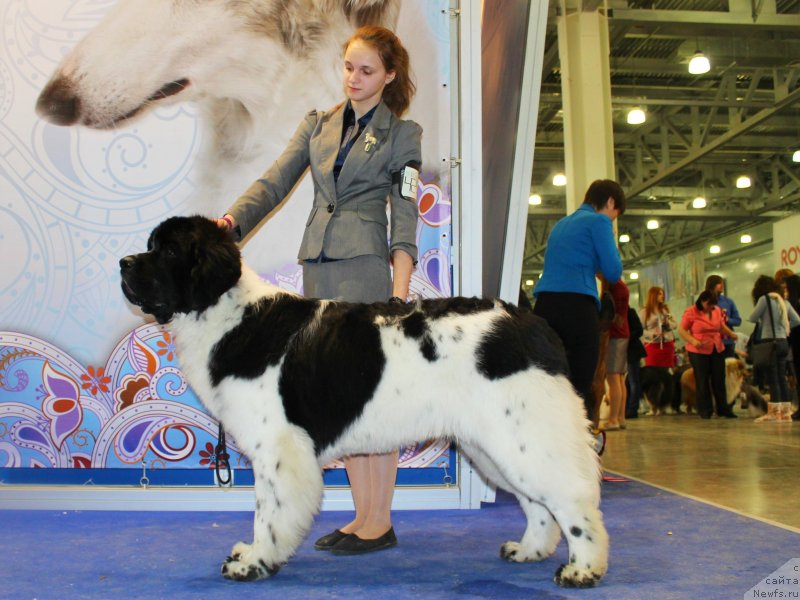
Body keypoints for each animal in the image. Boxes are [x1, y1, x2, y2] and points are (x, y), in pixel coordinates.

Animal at [117, 216, 608, 584]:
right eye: (150, 246)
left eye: (169, 252)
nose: (123, 262)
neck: (229, 313)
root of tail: (532, 323)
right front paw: (251, 554)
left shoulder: (277, 448)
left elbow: (267, 512)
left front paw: (255, 562)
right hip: (493, 446)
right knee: (537, 504)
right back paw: (528, 550)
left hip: (524, 437)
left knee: (572, 498)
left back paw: (583, 569)